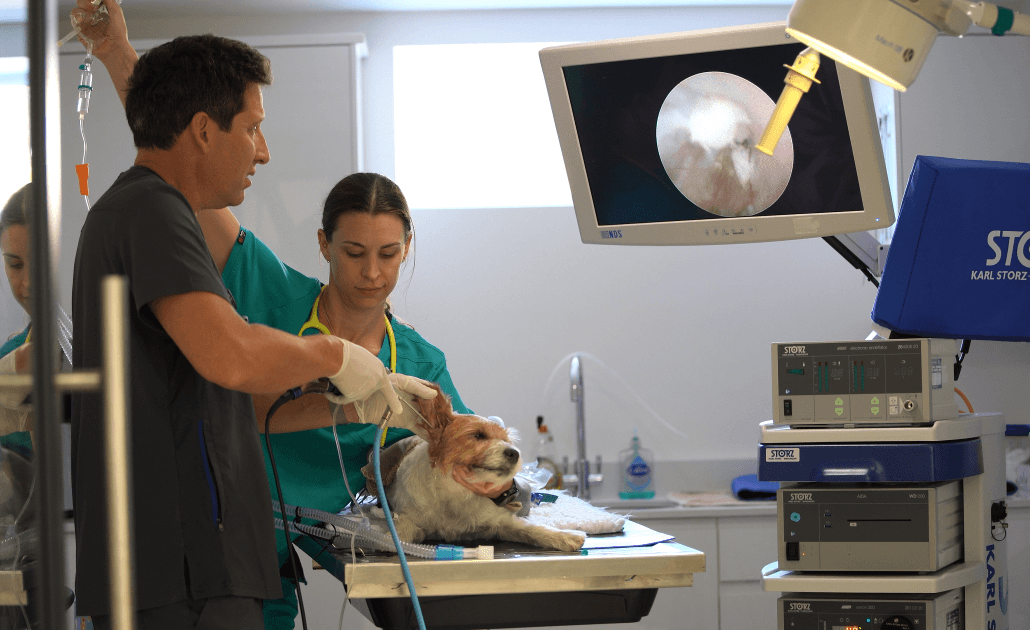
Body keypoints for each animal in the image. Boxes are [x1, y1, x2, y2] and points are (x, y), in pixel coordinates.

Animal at [362, 382, 589, 551]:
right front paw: (386, 539)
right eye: (478, 435)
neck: (454, 494)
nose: (514, 453)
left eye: (507, 440)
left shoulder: (503, 522)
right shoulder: (409, 516)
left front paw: (565, 536)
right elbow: (403, 530)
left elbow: (532, 529)